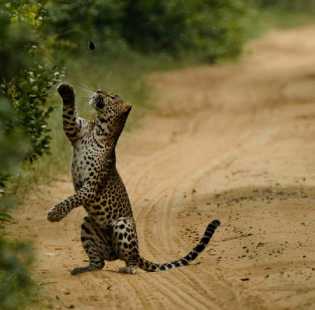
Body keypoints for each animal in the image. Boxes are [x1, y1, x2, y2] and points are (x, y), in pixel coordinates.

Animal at [47, 82, 222, 274]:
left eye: (112, 96)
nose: (99, 90)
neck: (99, 128)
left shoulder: (91, 187)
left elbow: (72, 198)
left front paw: (55, 214)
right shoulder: (75, 129)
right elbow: (69, 115)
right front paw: (65, 89)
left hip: (123, 223)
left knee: (130, 258)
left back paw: (129, 268)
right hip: (88, 224)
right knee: (99, 263)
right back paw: (84, 268)